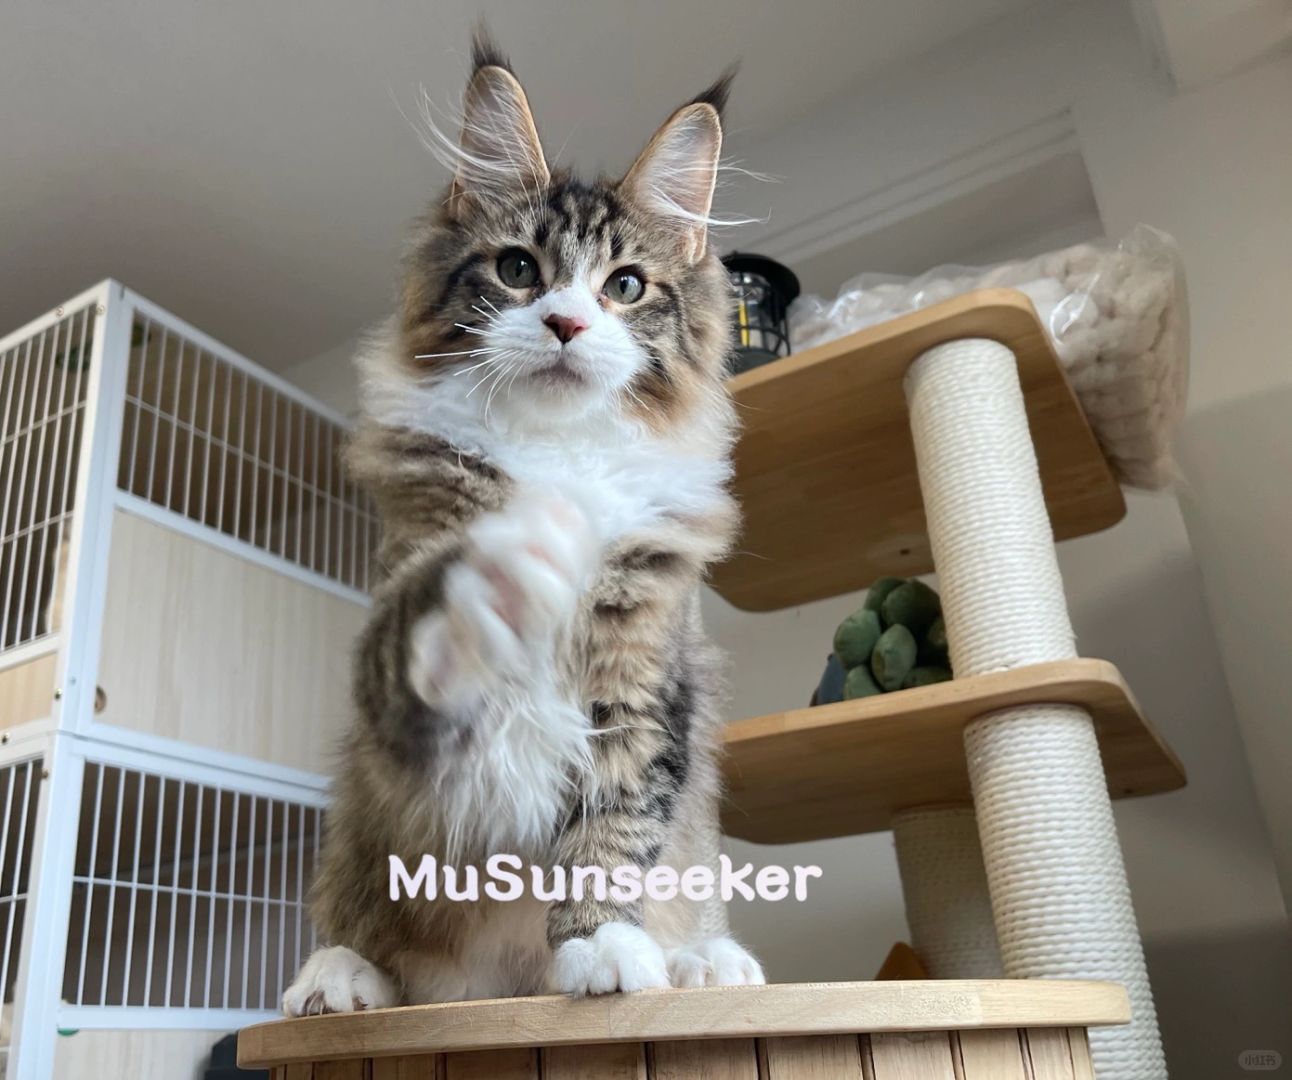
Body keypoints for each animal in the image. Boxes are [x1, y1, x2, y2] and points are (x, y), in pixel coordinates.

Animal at [282, 32, 763, 1014]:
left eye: (625, 286)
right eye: (517, 271)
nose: (568, 322)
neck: (554, 447)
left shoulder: (644, 680)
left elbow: (613, 829)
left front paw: (600, 946)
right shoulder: (397, 640)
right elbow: (436, 613)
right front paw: (512, 557)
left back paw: (703, 961)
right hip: (360, 819)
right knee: (363, 924)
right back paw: (340, 975)